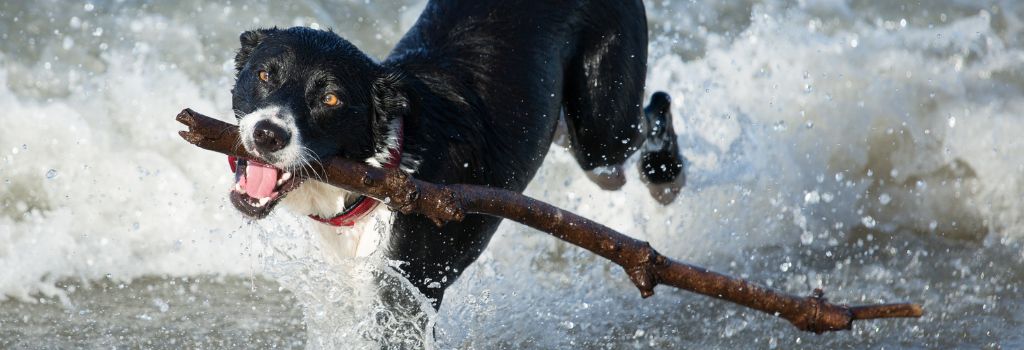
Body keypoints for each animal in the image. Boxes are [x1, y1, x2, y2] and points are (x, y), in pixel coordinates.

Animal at [228, 0, 684, 311]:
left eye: (331, 99)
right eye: (264, 74)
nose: (268, 134)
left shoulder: (406, 293)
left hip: (602, 130)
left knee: (646, 116)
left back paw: (665, 174)